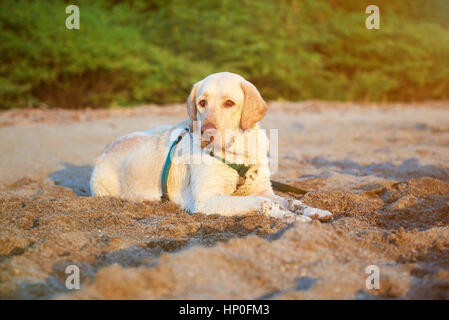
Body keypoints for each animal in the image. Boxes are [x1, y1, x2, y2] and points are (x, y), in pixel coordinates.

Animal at [89, 72, 330, 222]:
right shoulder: (206, 200)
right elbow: (263, 203)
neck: (238, 152)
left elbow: (290, 200)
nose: (206, 133)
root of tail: (106, 148)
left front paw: (313, 210)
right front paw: (289, 217)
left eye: (230, 103)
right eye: (201, 103)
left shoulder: (262, 189)